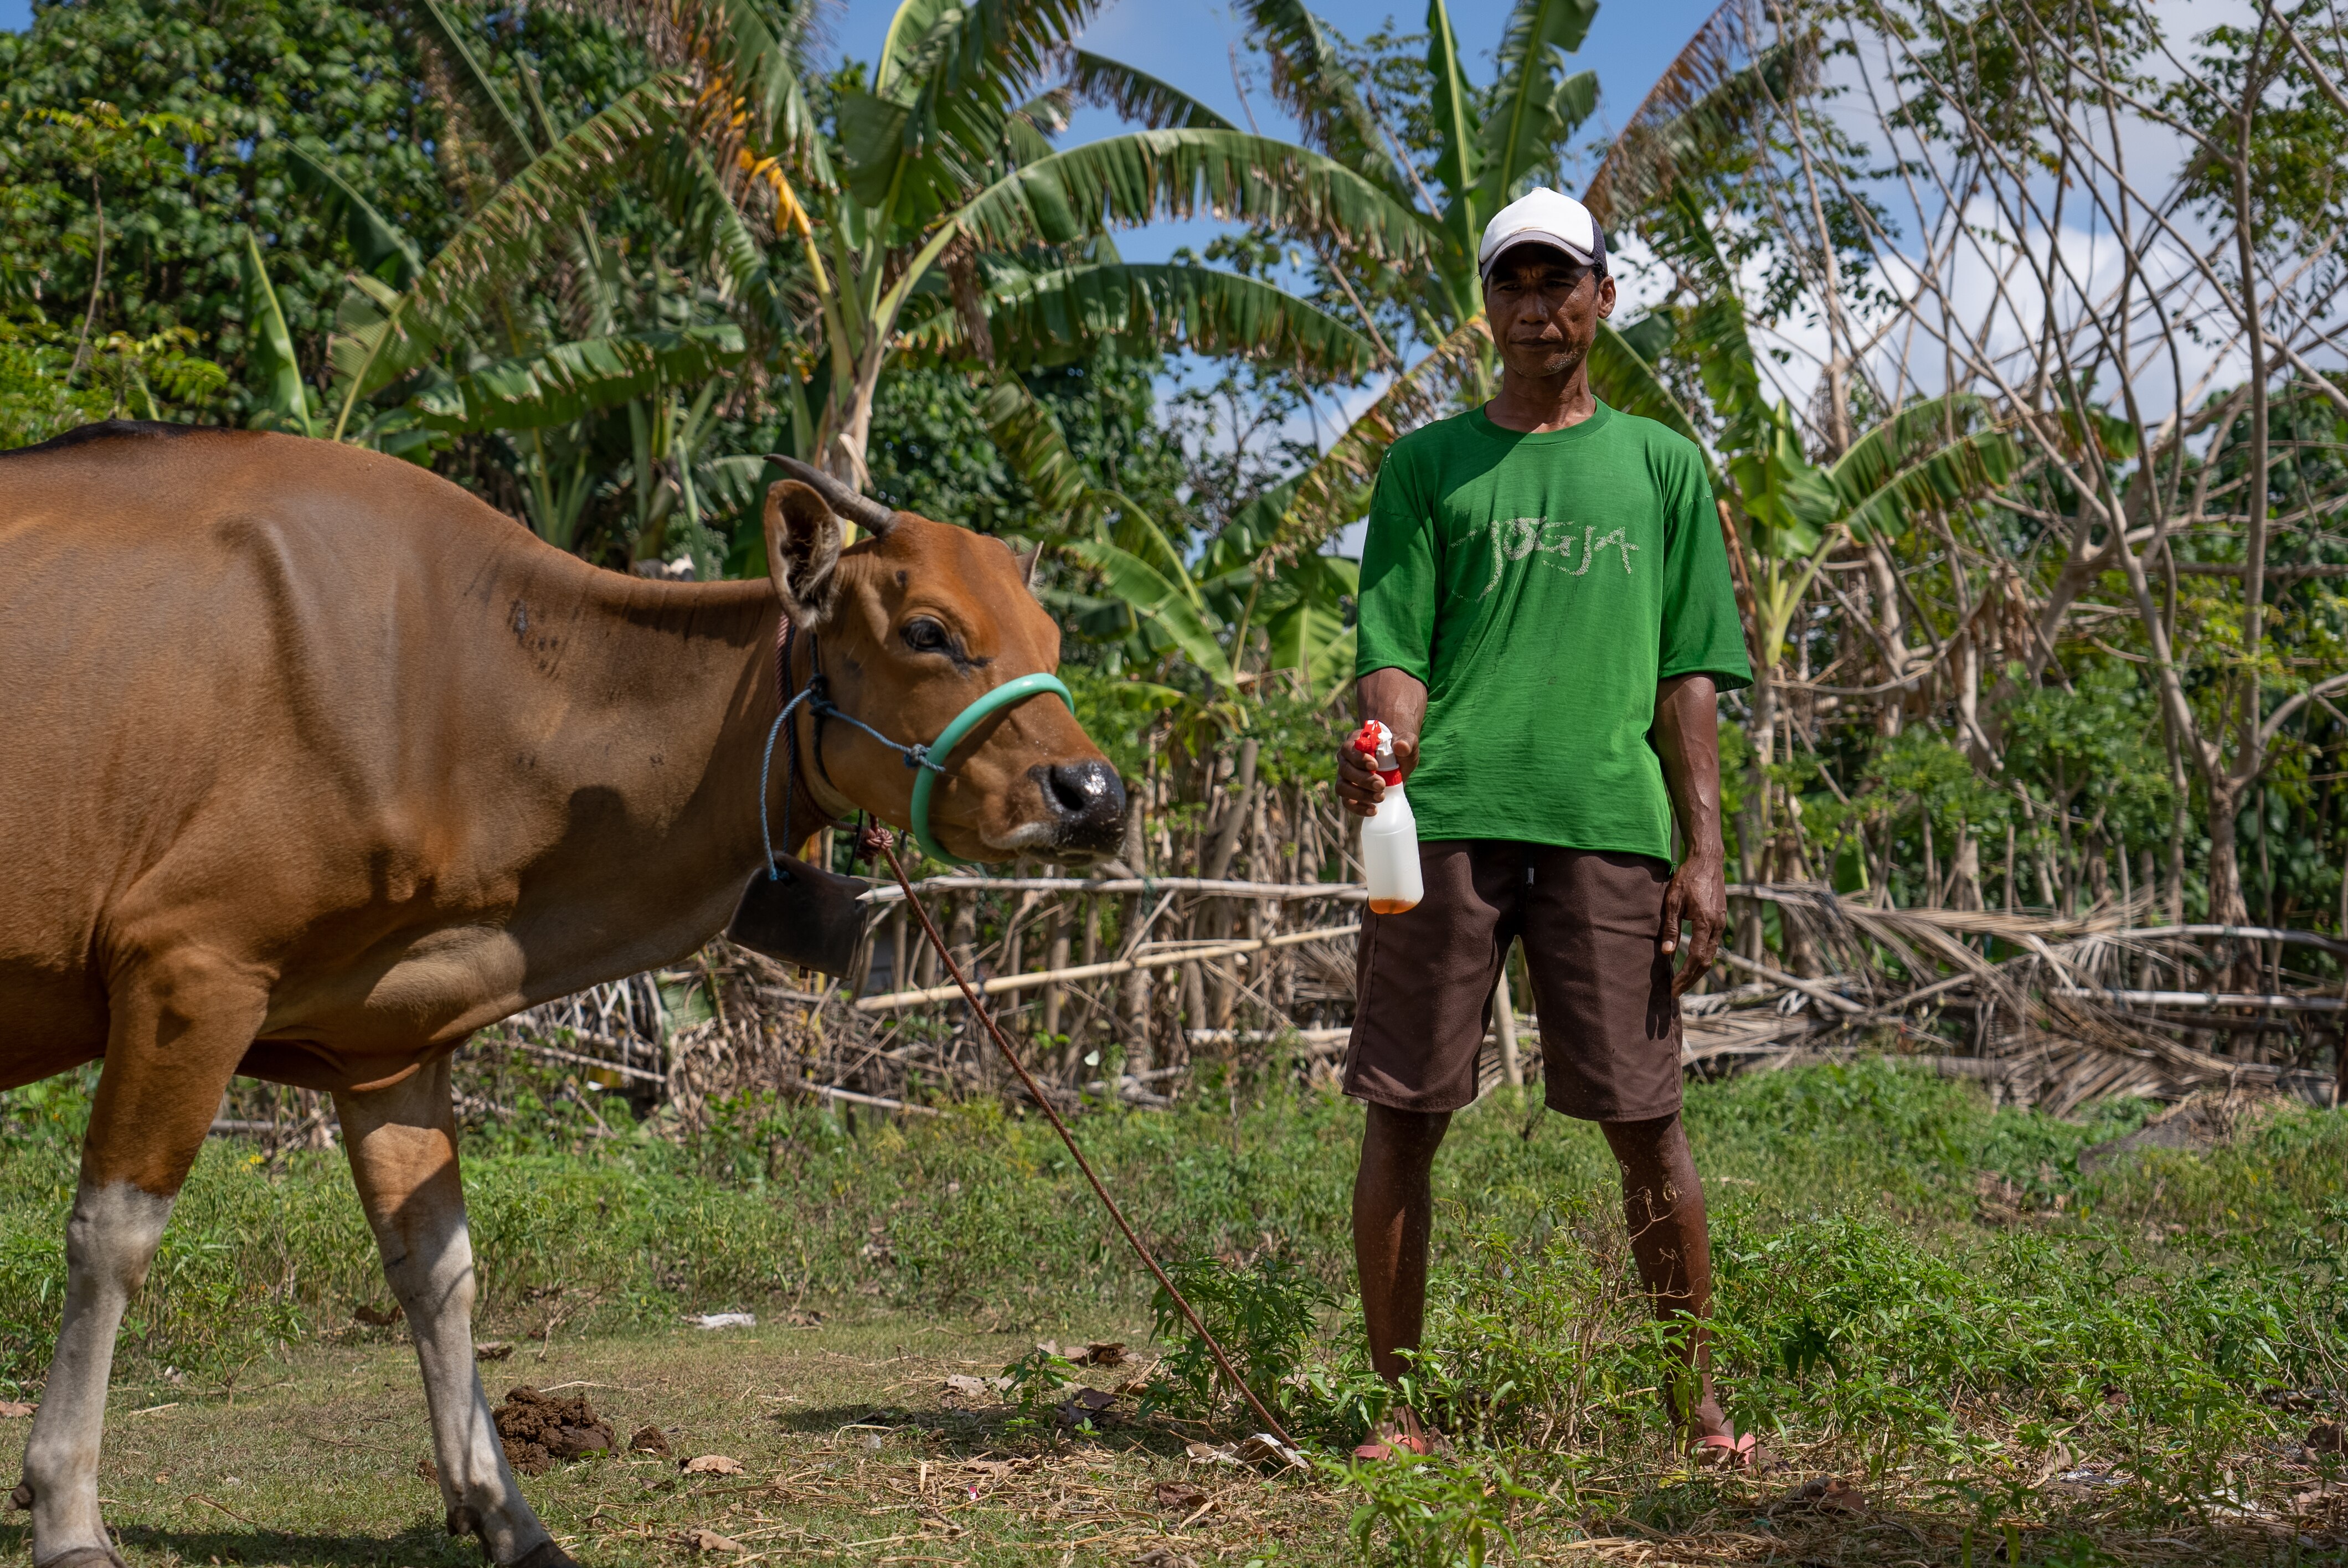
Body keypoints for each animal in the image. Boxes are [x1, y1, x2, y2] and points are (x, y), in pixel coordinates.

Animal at [0, 423, 1126, 1568]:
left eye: (1050, 633)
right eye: (929, 631)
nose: (1096, 794)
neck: (452, 680)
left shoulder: (389, 1042)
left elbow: (439, 1270)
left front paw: (505, 1510)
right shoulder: (189, 965)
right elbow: (112, 1240)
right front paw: (67, 1513)